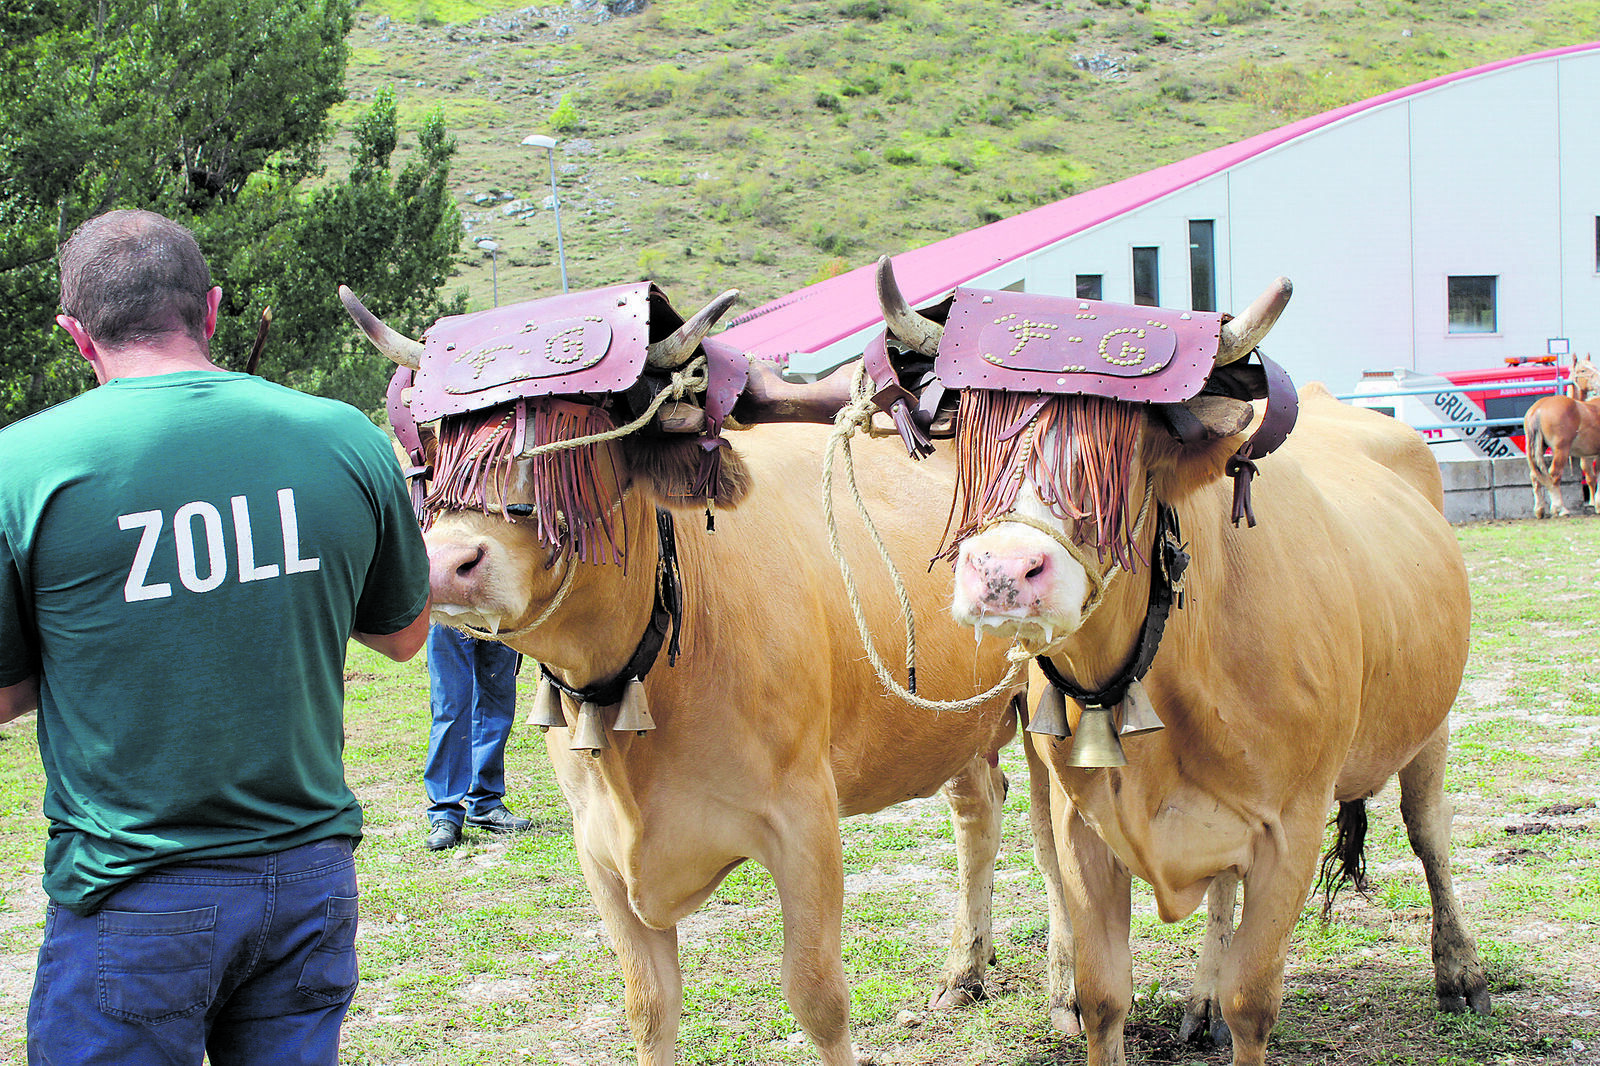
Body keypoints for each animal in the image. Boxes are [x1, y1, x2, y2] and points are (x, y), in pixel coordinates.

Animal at [1523, 355, 1600, 515]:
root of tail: (1539, 408)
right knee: (1554, 475)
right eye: (1583, 370)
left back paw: (1539, 509)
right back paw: (1560, 508)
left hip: (1537, 448)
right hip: (1561, 450)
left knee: (1535, 476)